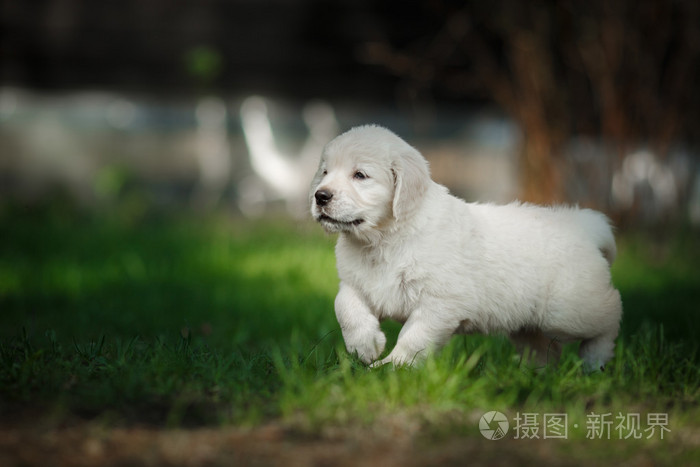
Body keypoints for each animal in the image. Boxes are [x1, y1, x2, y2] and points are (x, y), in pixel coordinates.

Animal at [308, 125, 620, 372]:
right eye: (325, 171)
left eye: (360, 175)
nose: (320, 196)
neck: (382, 240)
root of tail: (583, 224)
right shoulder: (355, 283)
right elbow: (344, 307)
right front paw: (365, 347)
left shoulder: (440, 301)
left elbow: (414, 336)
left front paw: (393, 367)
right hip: (528, 322)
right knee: (545, 349)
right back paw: (532, 374)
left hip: (566, 310)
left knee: (611, 313)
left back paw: (595, 360)